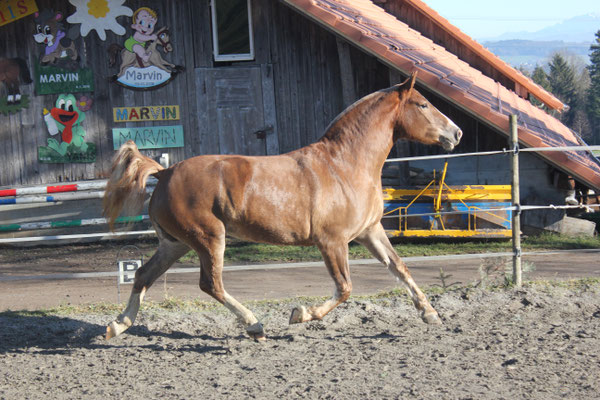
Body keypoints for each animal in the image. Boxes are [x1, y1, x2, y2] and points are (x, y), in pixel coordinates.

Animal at [103, 72, 462, 340]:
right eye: (423, 104)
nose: (456, 133)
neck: (344, 166)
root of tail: (165, 172)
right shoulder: (332, 241)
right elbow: (344, 288)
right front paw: (300, 313)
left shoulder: (370, 232)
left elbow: (399, 268)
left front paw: (430, 314)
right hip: (208, 239)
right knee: (211, 284)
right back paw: (254, 325)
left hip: (175, 244)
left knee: (144, 275)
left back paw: (118, 325)